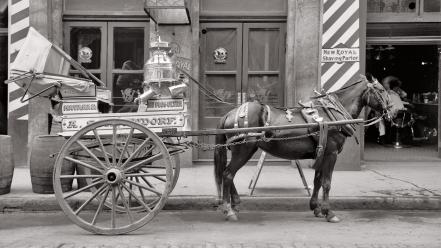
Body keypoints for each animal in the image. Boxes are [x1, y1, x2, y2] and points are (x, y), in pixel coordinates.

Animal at [212, 74, 388, 223]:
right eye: (381, 90)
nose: (392, 110)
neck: (333, 114)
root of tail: (230, 113)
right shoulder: (331, 153)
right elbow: (327, 183)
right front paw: (329, 212)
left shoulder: (322, 152)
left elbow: (317, 181)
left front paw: (316, 208)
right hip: (244, 149)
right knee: (228, 174)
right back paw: (229, 210)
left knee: (227, 173)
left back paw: (235, 203)